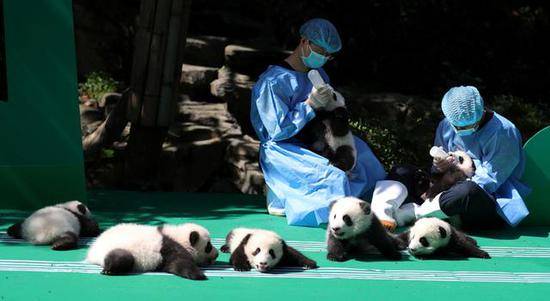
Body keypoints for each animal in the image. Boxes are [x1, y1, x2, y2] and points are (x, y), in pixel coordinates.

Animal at [86, 223, 218, 278]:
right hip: (119, 249)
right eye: (208, 246)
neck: (178, 236)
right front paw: (199, 275)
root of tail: (93, 252)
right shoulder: (169, 248)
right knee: (121, 258)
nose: (217, 254)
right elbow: (180, 263)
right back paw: (109, 270)